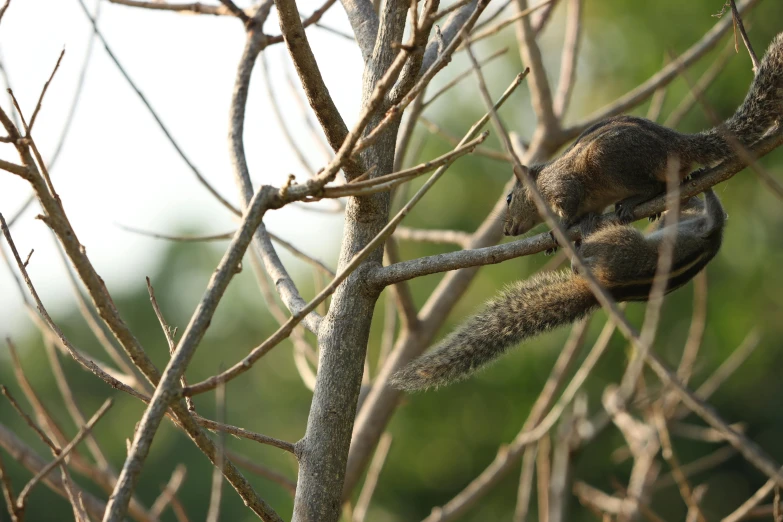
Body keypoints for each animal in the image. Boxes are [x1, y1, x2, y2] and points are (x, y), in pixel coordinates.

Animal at [506, 31, 780, 237]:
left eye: (508, 198)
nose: (507, 230)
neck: (541, 181)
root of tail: (677, 144)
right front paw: (582, 224)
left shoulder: (562, 187)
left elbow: (570, 206)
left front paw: (561, 228)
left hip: (610, 162)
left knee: (651, 185)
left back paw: (632, 201)